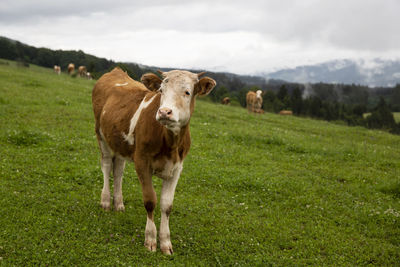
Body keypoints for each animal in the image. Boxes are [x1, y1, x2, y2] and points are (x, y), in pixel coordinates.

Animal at [91, 67, 216, 255]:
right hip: (100, 134)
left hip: (120, 144)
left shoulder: (176, 169)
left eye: (187, 92)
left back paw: (118, 204)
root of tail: (116, 71)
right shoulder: (142, 162)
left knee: (118, 171)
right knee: (106, 165)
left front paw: (165, 242)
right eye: (161, 91)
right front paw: (150, 239)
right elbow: (150, 201)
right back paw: (106, 201)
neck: (169, 143)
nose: (164, 112)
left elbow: (166, 205)